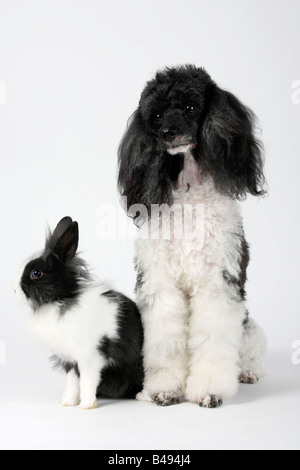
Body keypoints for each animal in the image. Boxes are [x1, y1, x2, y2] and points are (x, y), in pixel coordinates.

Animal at [14, 216, 144, 408]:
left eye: (36, 273)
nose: (14, 290)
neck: (60, 301)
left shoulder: (90, 357)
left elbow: (87, 381)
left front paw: (87, 405)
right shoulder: (69, 360)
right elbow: (72, 383)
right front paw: (68, 403)